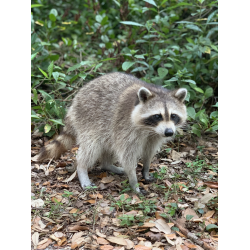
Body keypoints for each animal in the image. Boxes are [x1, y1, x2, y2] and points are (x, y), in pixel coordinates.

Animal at [32, 72, 187, 193]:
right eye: (157, 116)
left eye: (173, 115)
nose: (169, 132)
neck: (149, 128)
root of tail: (76, 99)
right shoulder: (126, 126)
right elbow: (127, 155)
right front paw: (134, 182)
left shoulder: (154, 135)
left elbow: (149, 151)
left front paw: (146, 169)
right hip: (88, 118)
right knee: (92, 147)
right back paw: (82, 168)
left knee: (108, 144)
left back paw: (107, 164)